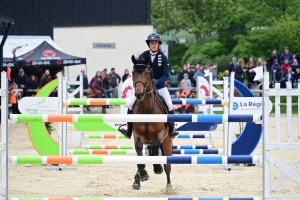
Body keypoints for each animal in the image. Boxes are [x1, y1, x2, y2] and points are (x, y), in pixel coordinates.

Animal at [130, 54, 172, 191]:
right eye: (133, 72)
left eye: (147, 72)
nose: (139, 94)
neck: (147, 110)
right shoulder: (137, 134)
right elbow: (139, 150)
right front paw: (143, 174)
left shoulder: (161, 133)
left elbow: (155, 146)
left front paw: (157, 168)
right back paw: (137, 180)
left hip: (167, 141)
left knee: (167, 165)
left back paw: (169, 185)